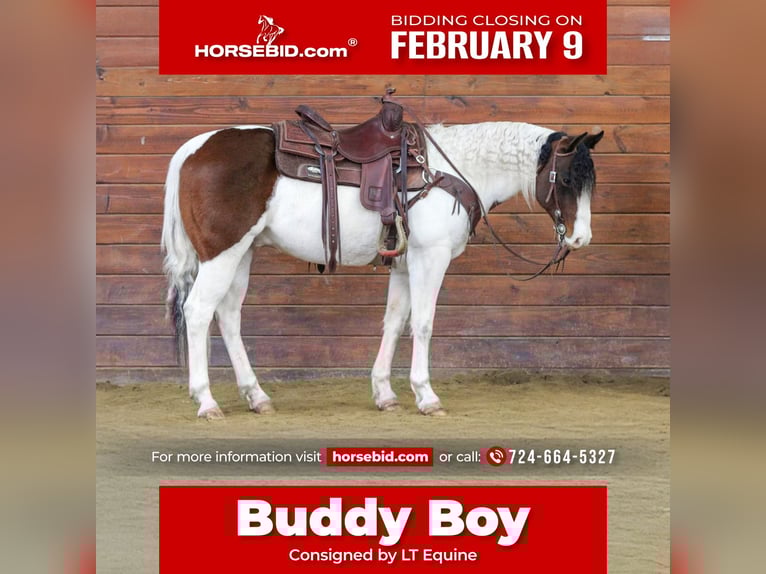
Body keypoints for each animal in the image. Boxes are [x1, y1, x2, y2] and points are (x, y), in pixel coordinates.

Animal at [161, 112, 603, 420]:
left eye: (590, 183)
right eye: (566, 180)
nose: (580, 239)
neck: (449, 170)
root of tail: (192, 149)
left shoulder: (405, 265)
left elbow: (394, 322)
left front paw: (385, 394)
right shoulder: (430, 258)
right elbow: (423, 324)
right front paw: (426, 395)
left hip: (242, 253)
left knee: (228, 316)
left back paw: (257, 396)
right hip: (223, 254)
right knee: (198, 312)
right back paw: (206, 401)